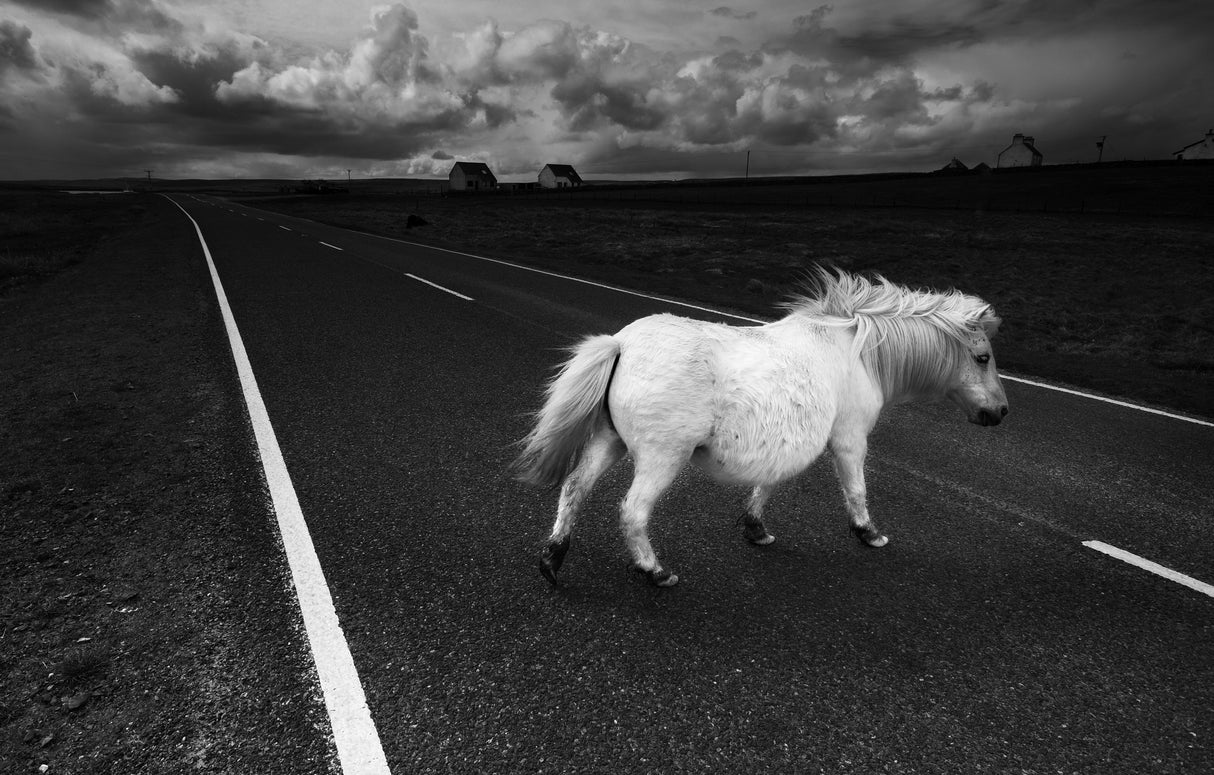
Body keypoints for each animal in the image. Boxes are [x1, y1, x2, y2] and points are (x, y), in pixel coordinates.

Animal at [515, 268, 1008, 587]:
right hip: (661, 457)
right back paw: (654, 571)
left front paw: (755, 528)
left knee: (574, 488)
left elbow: (769, 483)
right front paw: (869, 534)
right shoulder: (850, 439)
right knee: (632, 512)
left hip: (609, 441)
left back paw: (552, 560)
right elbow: (857, 490)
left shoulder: (797, 441)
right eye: (983, 357)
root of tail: (621, 343)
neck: (857, 349)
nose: (1000, 412)